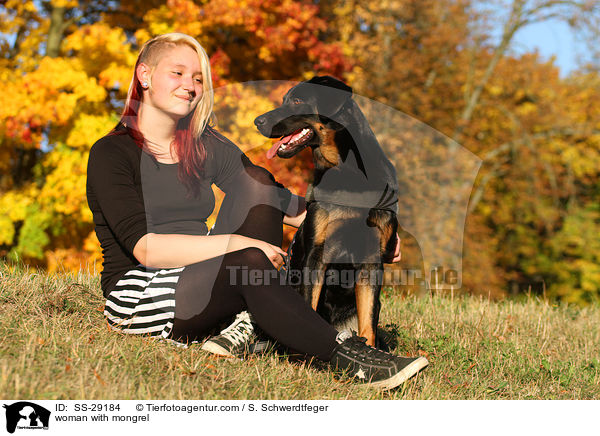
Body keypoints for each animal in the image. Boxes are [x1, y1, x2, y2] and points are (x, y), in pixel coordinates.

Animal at [253, 76, 398, 348]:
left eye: (297, 101)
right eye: (285, 100)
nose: (258, 121)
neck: (347, 171)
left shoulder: (371, 261)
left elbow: (368, 322)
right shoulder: (316, 254)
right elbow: (307, 308)